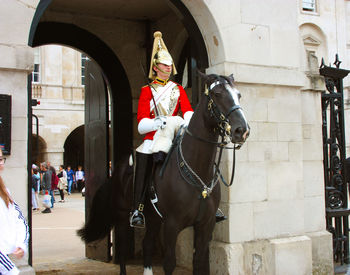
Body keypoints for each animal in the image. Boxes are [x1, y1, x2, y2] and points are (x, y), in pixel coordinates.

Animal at [78, 72, 250, 274]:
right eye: (217, 94)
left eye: (239, 95)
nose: (242, 130)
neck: (197, 170)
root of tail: (118, 167)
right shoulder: (171, 225)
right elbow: (169, 263)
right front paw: (163, 121)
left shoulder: (205, 225)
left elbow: (199, 261)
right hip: (122, 216)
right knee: (123, 249)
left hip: (153, 219)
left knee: (147, 244)